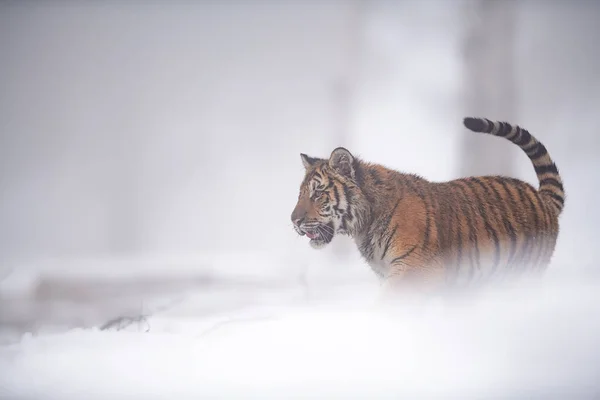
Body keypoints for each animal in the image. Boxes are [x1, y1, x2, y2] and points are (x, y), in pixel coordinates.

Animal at [290, 116, 564, 294]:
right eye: (300, 194)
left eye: (318, 193)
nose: (294, 221)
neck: (364, 225)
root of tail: (543, 198)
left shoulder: (413, 268)